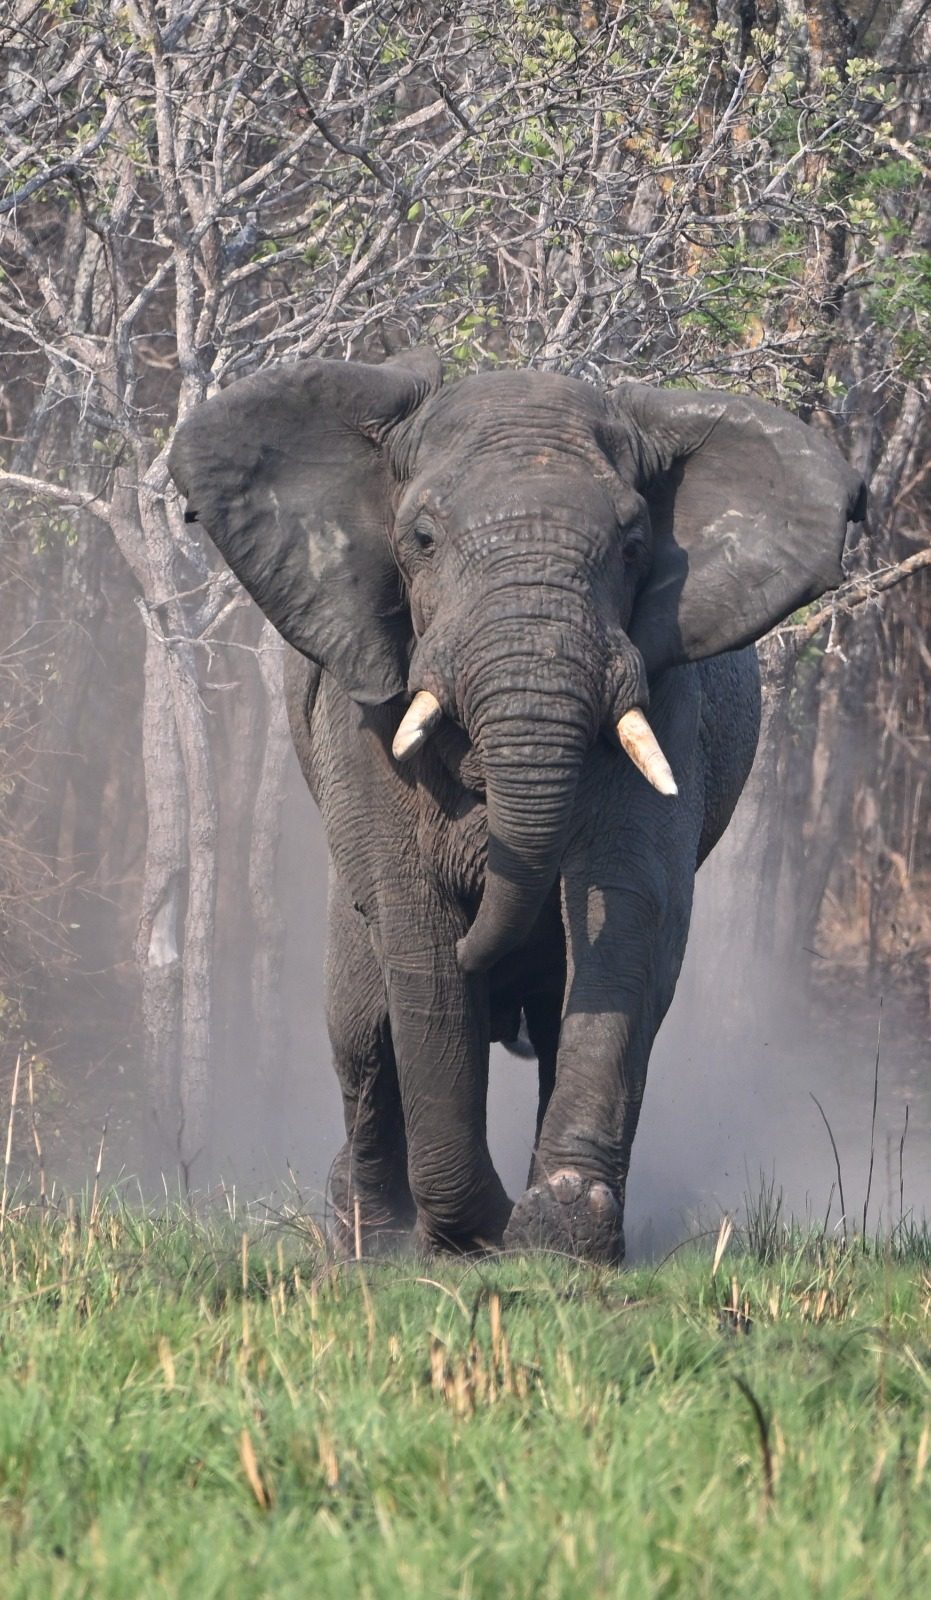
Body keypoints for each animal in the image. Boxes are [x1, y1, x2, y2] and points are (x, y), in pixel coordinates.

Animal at [168, 349, 865, 1262]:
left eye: (634, 546)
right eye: (422, 541)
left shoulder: (667, 695)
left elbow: (624, 914)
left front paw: (559, 1230)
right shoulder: (363, 716)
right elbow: (414, 929)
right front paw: (468, 1234)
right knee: (361, 1030)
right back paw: (366, 1236)